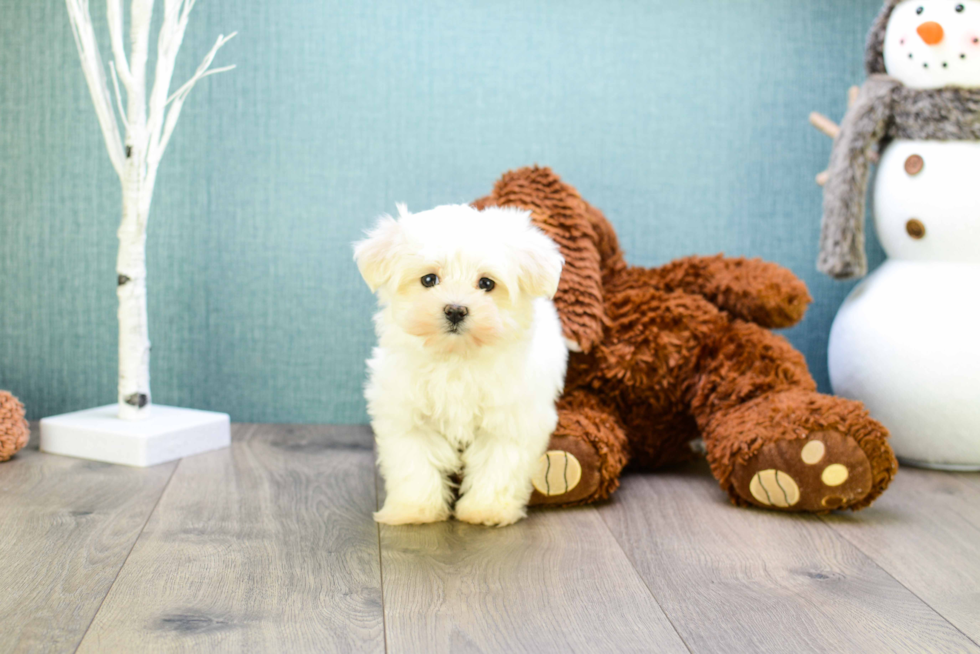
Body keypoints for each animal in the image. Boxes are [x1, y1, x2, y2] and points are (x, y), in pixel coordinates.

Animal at [352, 205, 568, 528]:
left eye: (487, 283)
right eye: (429, 279)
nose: (455, 309)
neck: (456, 358)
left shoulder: (510, 419)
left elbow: (498, 463)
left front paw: (486, 509)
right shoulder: (408, 415)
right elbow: (414, 463)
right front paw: (415, 509)